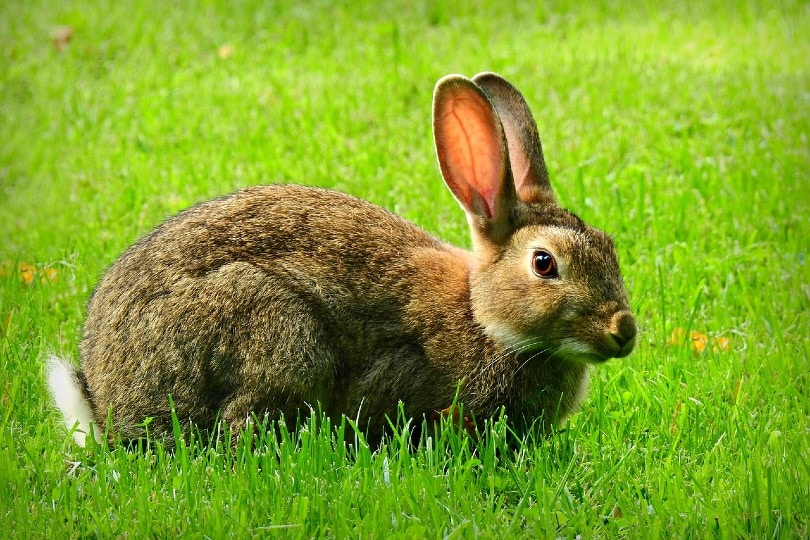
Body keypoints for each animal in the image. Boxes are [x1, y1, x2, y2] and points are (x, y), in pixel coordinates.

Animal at [47, 72, 637, 448]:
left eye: (610, 246)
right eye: (544, 264)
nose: (624, 331)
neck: (483, 318)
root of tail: (107, 404)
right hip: (274, 328)